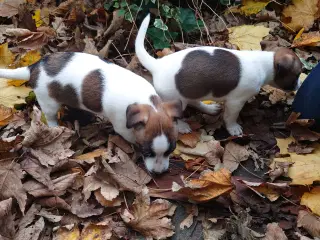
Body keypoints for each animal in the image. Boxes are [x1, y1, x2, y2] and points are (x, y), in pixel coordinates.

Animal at [0, 51, 181, 173]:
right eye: (147, 152)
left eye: (171, 150)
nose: (159, 173)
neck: (145, 101)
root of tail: (34, 67)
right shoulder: (122, 127)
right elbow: (130, 136)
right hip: (48, 102)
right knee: (50, 117)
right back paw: (55, 127)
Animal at [135, 14, 302, 136]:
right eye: (297, 75)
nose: (299, 85)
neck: (265, 64)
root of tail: (157, 65)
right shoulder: (236, 102)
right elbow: (230, 117)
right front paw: (233, 128)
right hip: (175, 98)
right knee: (173, 114)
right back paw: (182, 126)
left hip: (191, 91)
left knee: (194, 101)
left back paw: (209, 109)